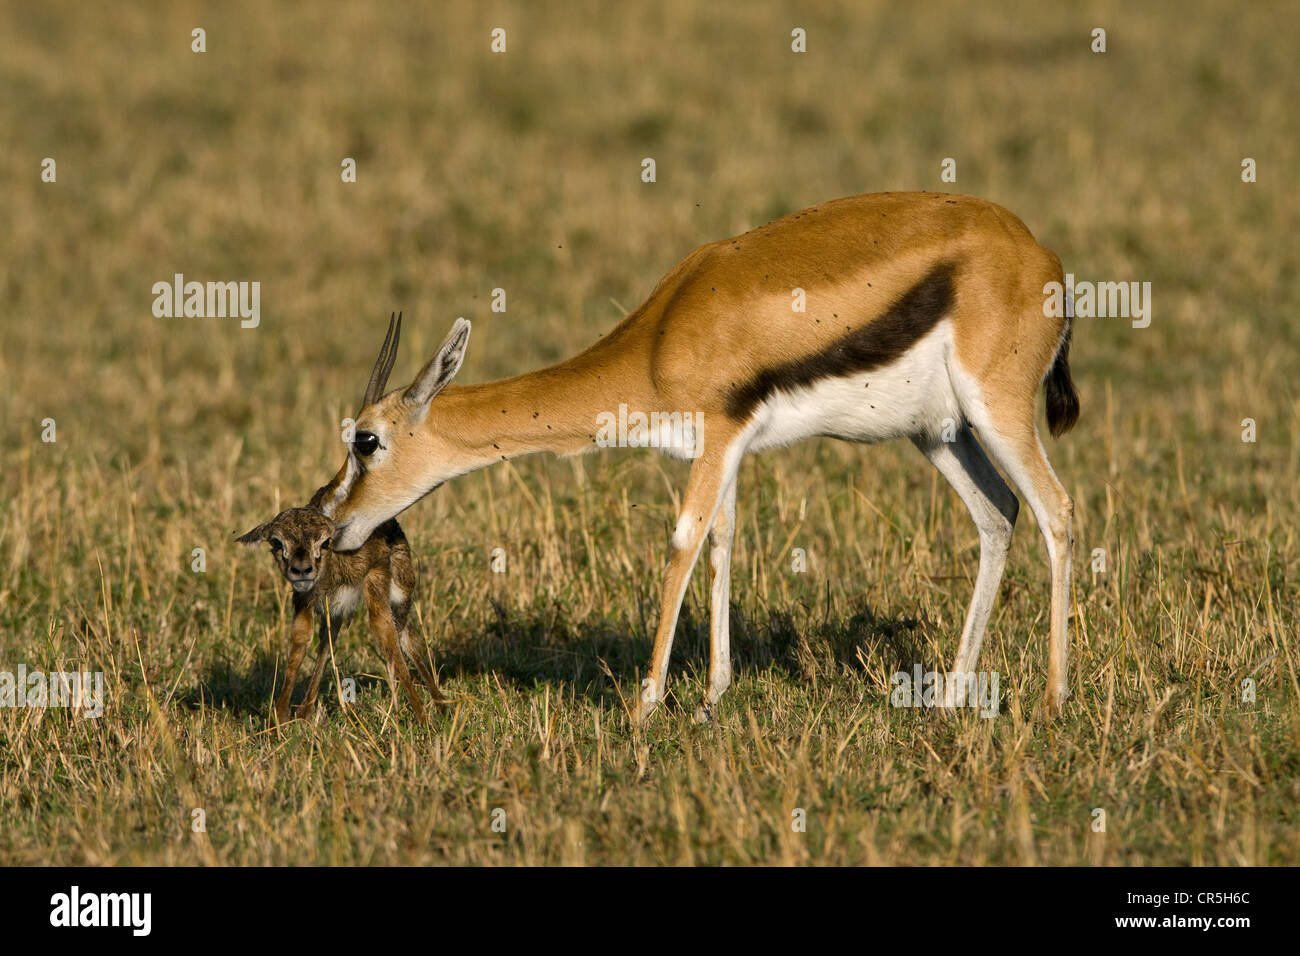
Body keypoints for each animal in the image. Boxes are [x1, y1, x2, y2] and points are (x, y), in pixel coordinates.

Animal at [237, 486, 447, 726]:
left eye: (325, 541)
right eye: (277, 542)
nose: (301, 570)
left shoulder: (375, 577)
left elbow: (387, 637)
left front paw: (424, 719)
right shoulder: (305, 599)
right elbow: (300, 643)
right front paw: (279, 719)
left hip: (401, 591)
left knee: (407, 637)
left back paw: (440, 705)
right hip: (336, 611)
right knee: (329, 641)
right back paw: (305, 712)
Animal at [318, 192, 1080, 724]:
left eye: (366, 440)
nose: (332, 526)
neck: (662, 334)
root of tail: (1043, 257)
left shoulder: (718, 433)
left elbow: (684, 541)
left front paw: (643, 708)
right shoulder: (729, 444)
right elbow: (722, 541)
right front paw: (713, 699)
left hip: (998, 411)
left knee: (1057, 510)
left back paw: (1051, 702)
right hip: (940, 432)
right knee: (998, 515)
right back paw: (950, 699)